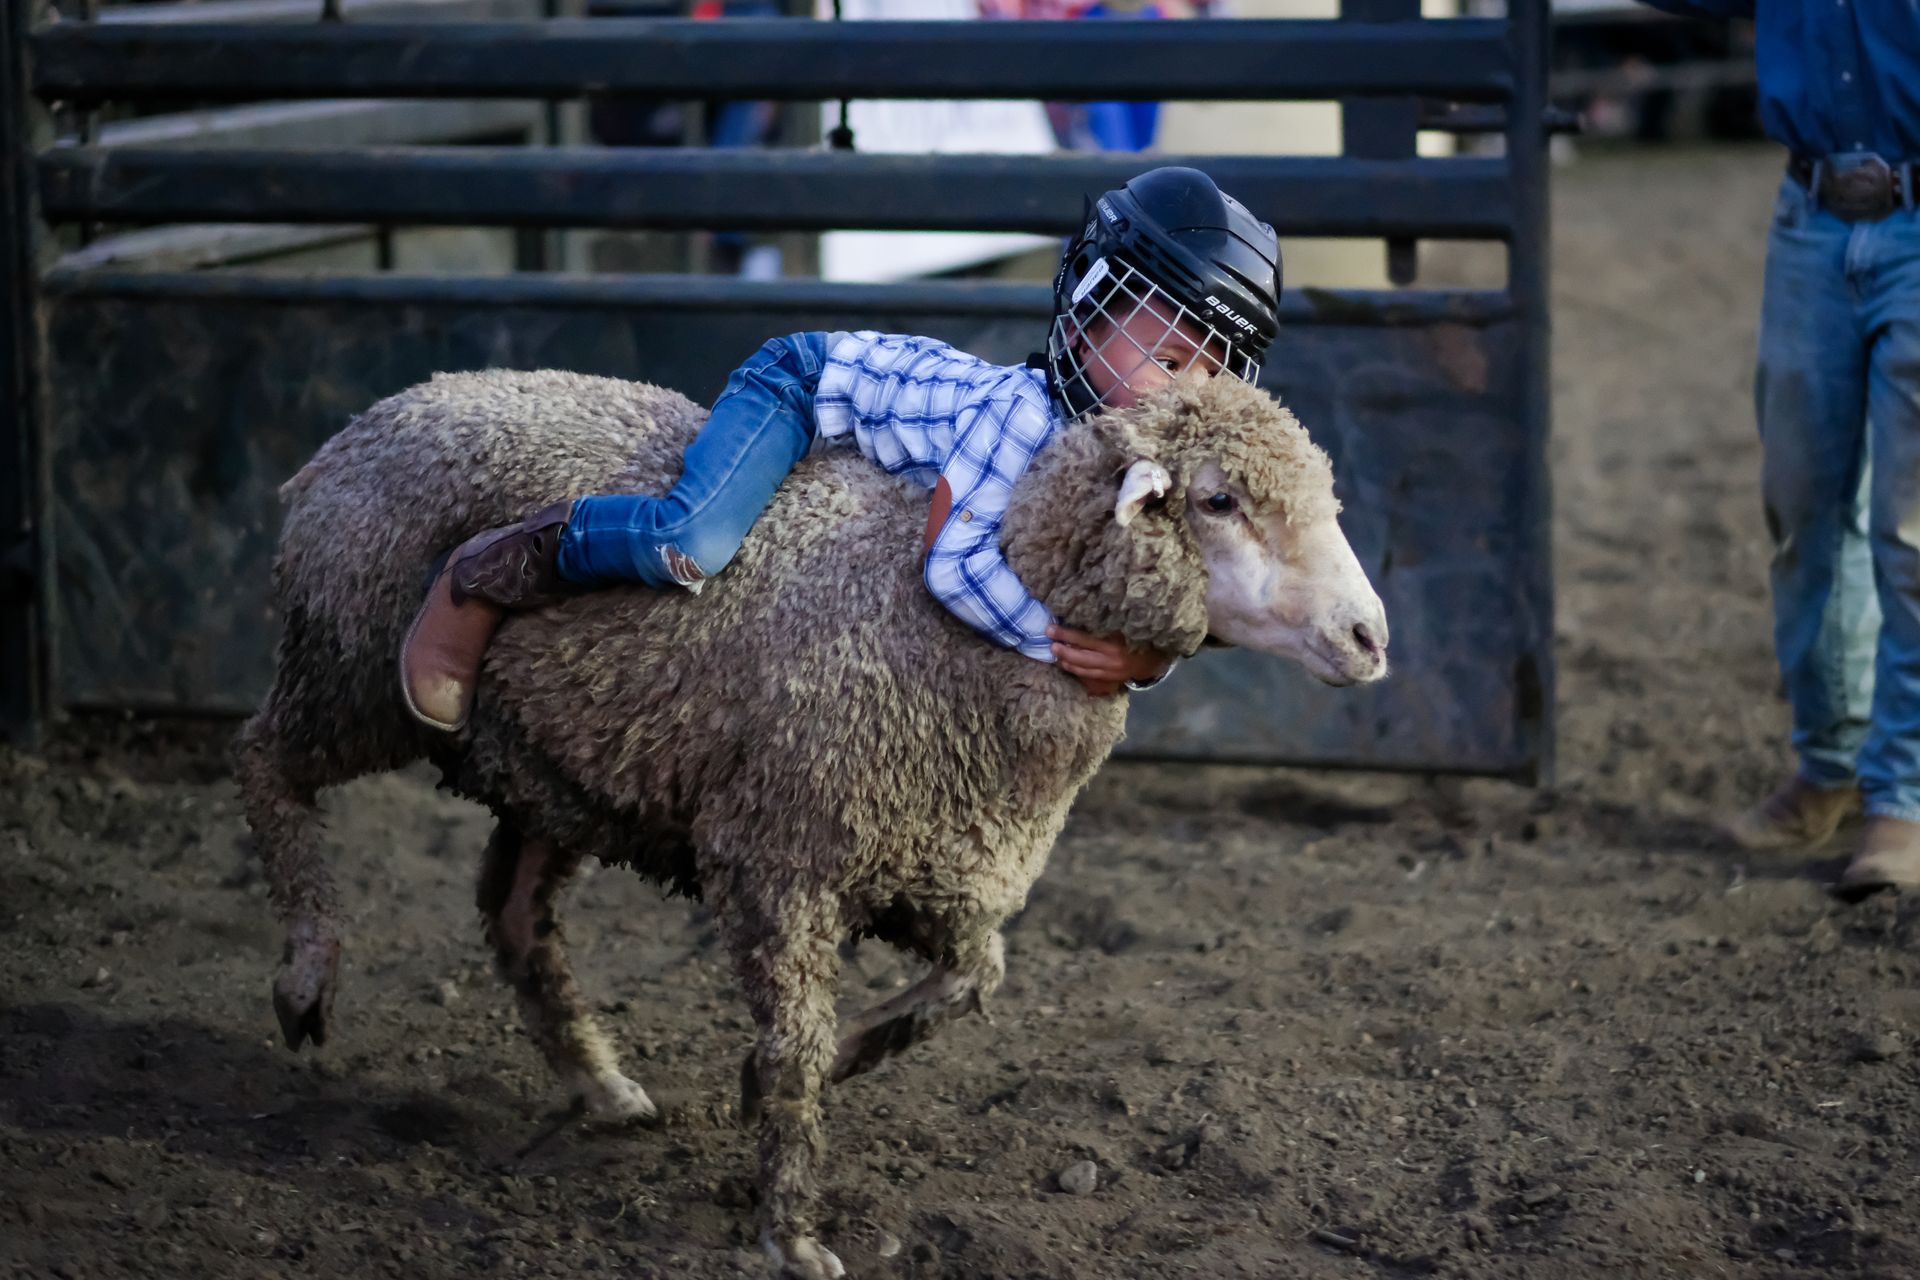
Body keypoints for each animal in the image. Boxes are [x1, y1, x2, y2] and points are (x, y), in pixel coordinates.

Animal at [232, 367, 1388, 1278]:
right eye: (1219, 497)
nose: (1370, 635)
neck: (961, 631)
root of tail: (377, 415)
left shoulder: (936, 873)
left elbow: (969, 985)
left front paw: (787, 1087)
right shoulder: (780, 861)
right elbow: (797, 1044)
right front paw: (790, 1231)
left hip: (560, 766)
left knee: (514, 912)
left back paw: (601, 1083)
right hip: (349, 670)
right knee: (265, 763)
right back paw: (306, 970)